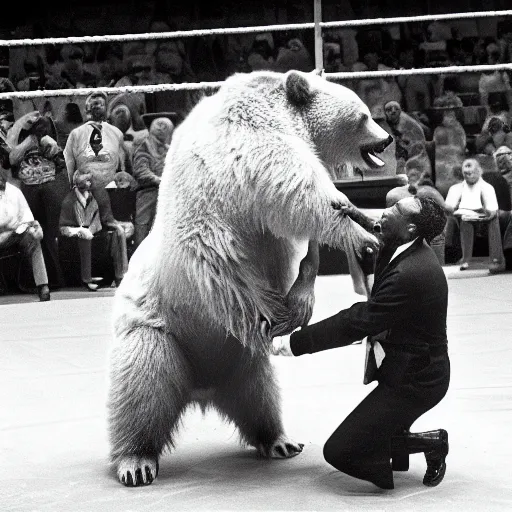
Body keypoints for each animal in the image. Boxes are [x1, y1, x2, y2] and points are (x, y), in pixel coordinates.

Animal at [106, 69, 390, 488]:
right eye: (364, 115)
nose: (387, 138)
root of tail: (201, 387)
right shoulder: (249, 147)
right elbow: (299, 190)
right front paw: (361, 232)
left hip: (238, 357)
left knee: (260, 396)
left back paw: (280, 439)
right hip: (157, 330)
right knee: (143, 388)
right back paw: (135, 460)